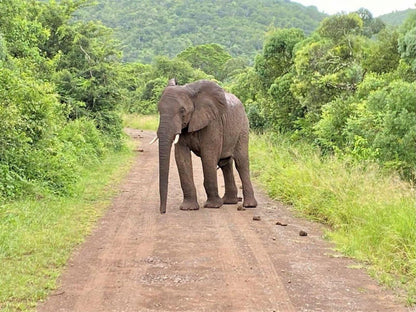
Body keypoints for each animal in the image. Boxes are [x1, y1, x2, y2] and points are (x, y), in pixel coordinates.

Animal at [154, 79, 255, 213]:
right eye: (159, 110)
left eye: (182, 110)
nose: (163, 212)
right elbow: (181, 157)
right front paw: (188, 208)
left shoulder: (213, 123)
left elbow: (208, 155)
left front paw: (213, 206)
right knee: (225, 164)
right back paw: (229, 201)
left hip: (243, 127)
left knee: (241, 162)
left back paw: (249, 205)